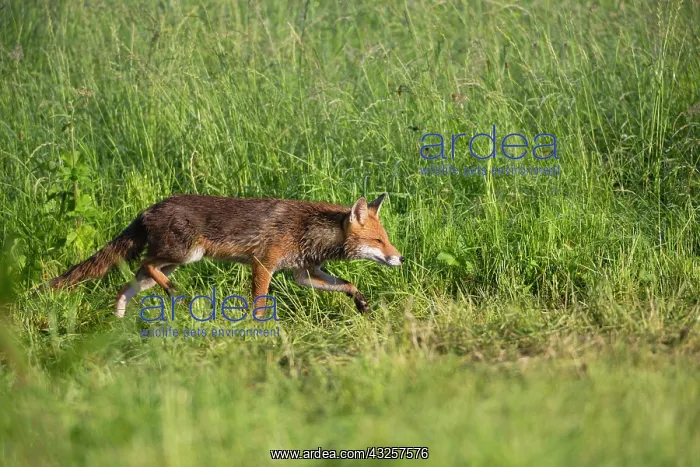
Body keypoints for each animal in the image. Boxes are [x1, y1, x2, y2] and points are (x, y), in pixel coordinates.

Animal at [44, 193, 404, 317]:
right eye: (379, 241)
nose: (400, 258)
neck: (307, 229)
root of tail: (149, 208)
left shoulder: (304, 274)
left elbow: (347, 284)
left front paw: (361, 303)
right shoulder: (263, 265)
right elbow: (259, 302)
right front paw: (259, 331)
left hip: (171, 263)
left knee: (129, 283)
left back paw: (119, 316)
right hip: (185, 256)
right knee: (146, 263)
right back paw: (176, 294)